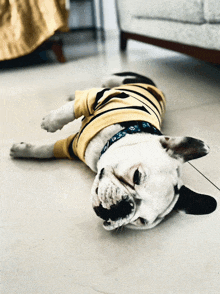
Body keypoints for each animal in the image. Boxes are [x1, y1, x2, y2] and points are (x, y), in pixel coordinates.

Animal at [9, 72, 217, 231]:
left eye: (140, 221)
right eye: (137, 176)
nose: (124, 208)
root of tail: (156, 88)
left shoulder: (70, 146)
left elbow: (47, 150)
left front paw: (21, 150)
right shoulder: (101, 98)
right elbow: (71, 110)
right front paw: (50, 122)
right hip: (114, 82)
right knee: (95, 87)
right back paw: (71, 95)